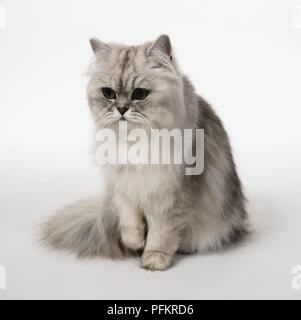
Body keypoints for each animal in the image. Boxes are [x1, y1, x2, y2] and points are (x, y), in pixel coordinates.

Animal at [41, 34, 248, 270]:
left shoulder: (169, 197)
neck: (135, 141)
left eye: (139, 94)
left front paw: (154, 260)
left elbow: (161, 234)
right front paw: (135, 244)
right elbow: (130, 224)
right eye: (108, 93)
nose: (122, 109)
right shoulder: (123, 189)